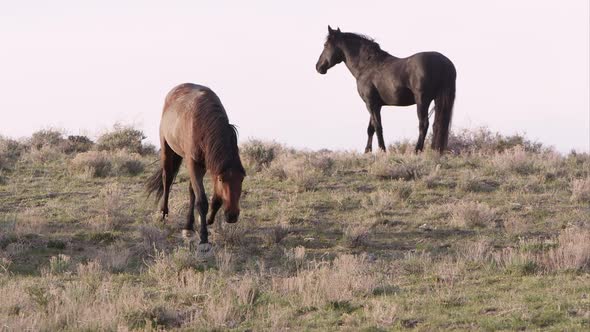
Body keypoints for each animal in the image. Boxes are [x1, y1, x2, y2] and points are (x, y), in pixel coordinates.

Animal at [147, 81, 246, 245]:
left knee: (191, 190)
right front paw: (204, 237)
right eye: (222, 179)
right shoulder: (194, 163)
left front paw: (207, 221)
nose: (232, 215)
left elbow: (215, 199)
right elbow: (202, 201)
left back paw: (188, 226)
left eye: (242, 179)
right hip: (167, 149)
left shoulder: (207, 165)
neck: (203, 124)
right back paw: (164, 214)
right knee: (167, 179)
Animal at [314, 26, 458, 153]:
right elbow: (371, 128)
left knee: (424, 124)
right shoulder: (375, 104)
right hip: (437, 100)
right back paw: (435, 150)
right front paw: (367, 152)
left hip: (422, 101)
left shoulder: (371, 104)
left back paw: (417, 151)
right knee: (437, 125)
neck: (366, 66)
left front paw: (382, 151)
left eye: (325, 45)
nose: (318, 66)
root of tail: (444, 62)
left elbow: (378, 127)